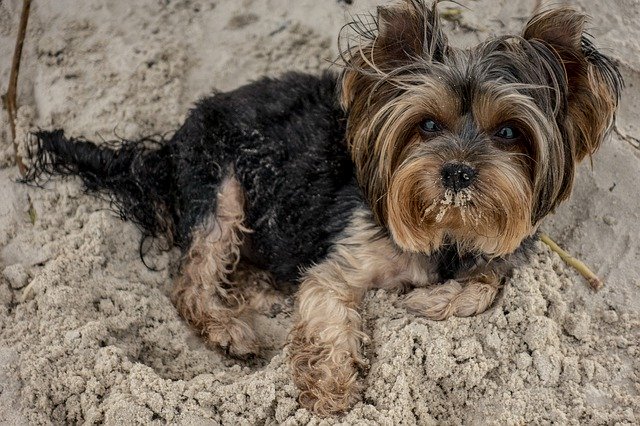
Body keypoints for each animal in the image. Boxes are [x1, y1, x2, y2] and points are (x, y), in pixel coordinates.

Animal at [25, 0, 620, 416]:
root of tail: (167, 148)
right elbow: (330, 313)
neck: (445, 227)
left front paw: (428, 301)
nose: (457, 171)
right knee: (192, 278)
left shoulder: (501, 246)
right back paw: (229, 328)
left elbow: (487, 282)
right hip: (221, 183)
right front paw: (332, 391)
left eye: (509, 132)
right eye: (427, 124)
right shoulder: (344, 259)